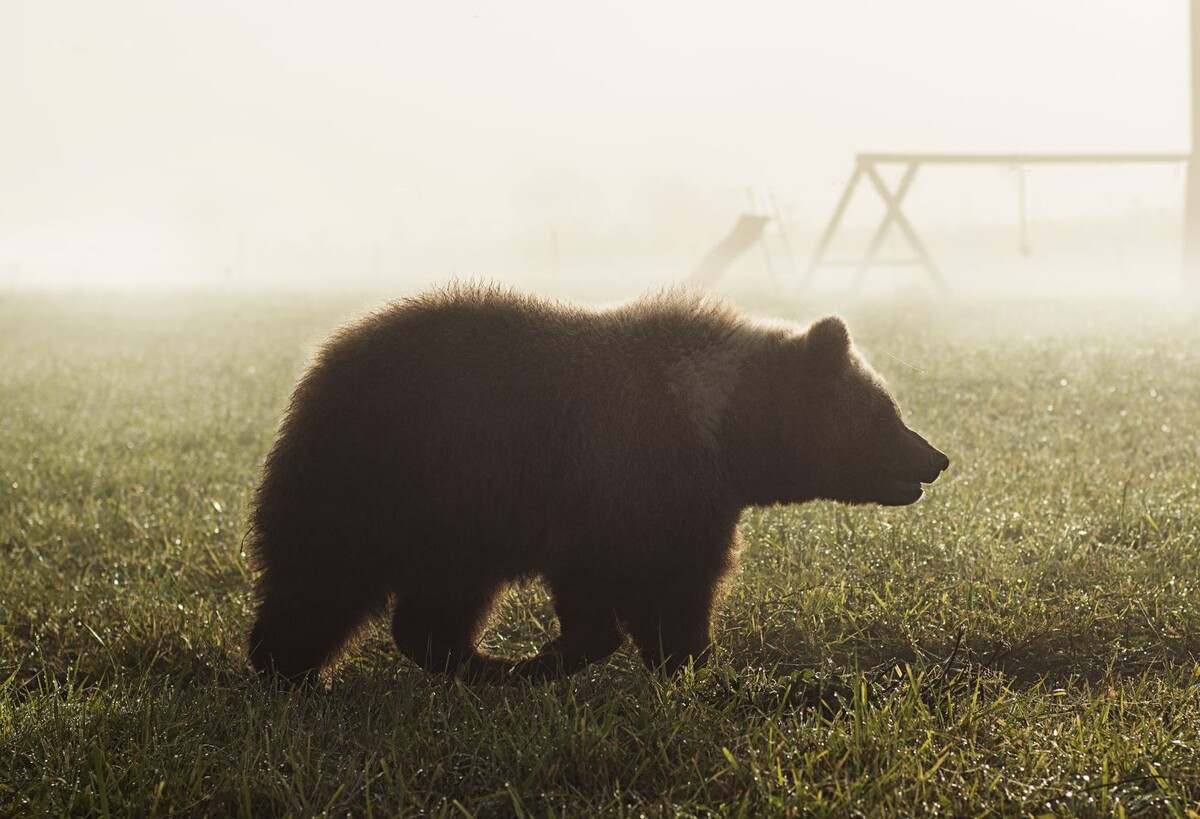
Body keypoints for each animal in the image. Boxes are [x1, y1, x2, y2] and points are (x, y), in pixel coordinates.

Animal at [248, 283, 950, 677]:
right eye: (885, 411)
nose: (935, 458)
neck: (725, 432)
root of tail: (321, 367)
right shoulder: (640, 478)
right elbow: (667, 583)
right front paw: (684, 660)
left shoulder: (613, 505)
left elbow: (614, 589)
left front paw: (580, 652)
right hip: (395, 479)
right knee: (320, 583)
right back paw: (289, 671)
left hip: (447, 516)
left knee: (423, 606)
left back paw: (474, 663)